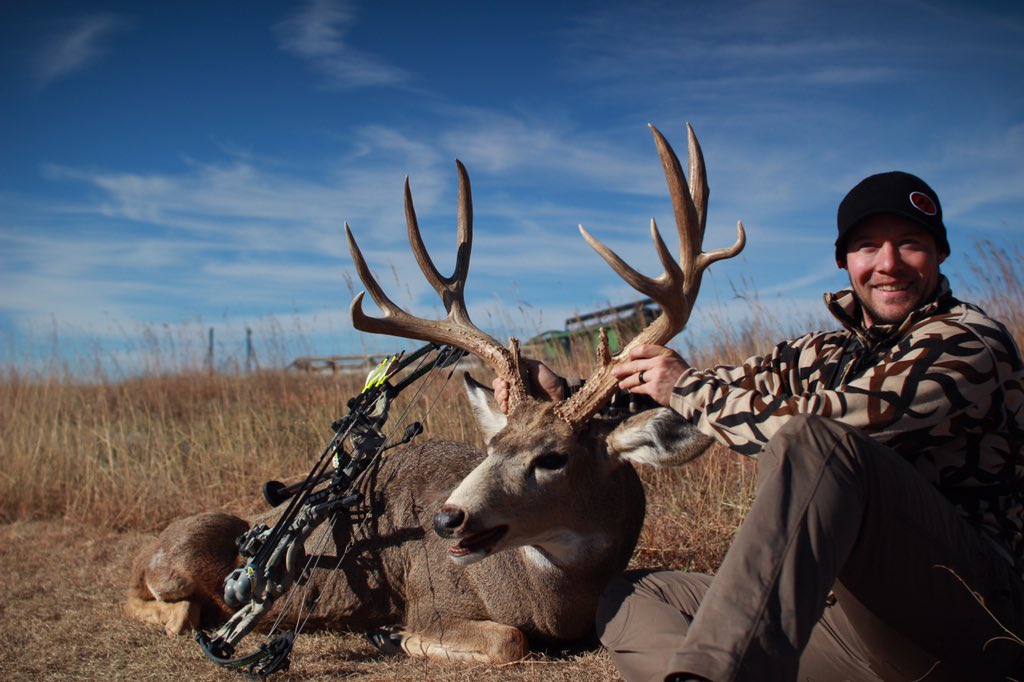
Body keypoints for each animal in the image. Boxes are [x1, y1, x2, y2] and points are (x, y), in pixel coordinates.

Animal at [125, 122, 744, 664]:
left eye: (553, 458)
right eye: (491, 448)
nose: (447, 518)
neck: (552, 595)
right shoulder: (435, 603)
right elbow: (509, 640)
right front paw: (394, 635)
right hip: (177, 560)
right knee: (164, 605)